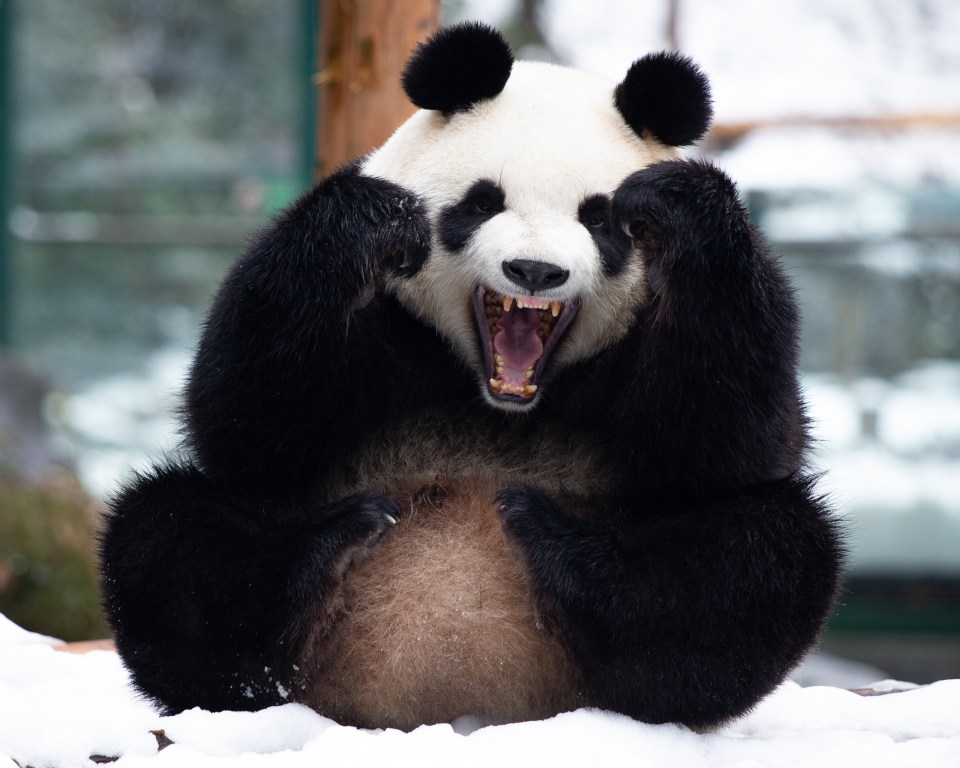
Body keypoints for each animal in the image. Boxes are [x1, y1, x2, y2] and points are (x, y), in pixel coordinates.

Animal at [101, 24, 844, 732]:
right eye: (484, 203)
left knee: (757, 562)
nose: (535, 271)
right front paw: (374, 220)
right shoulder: (385, 327)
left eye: (598, 216)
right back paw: (327, 553)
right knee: (170, 543)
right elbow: (246, 420)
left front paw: (676, 201)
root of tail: (456, 698)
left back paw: (559, 548)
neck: (498, 400)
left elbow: (735, 442)